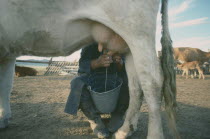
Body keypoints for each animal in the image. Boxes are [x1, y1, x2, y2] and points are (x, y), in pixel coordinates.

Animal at [0, 0, 179, 139]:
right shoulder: (8, 52)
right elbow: (6, 85)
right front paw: (4, 118)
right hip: (128, 42)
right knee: (135, 86)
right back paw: (124, 131)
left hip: (137, 30)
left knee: (153, 81)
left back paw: (152, 134)